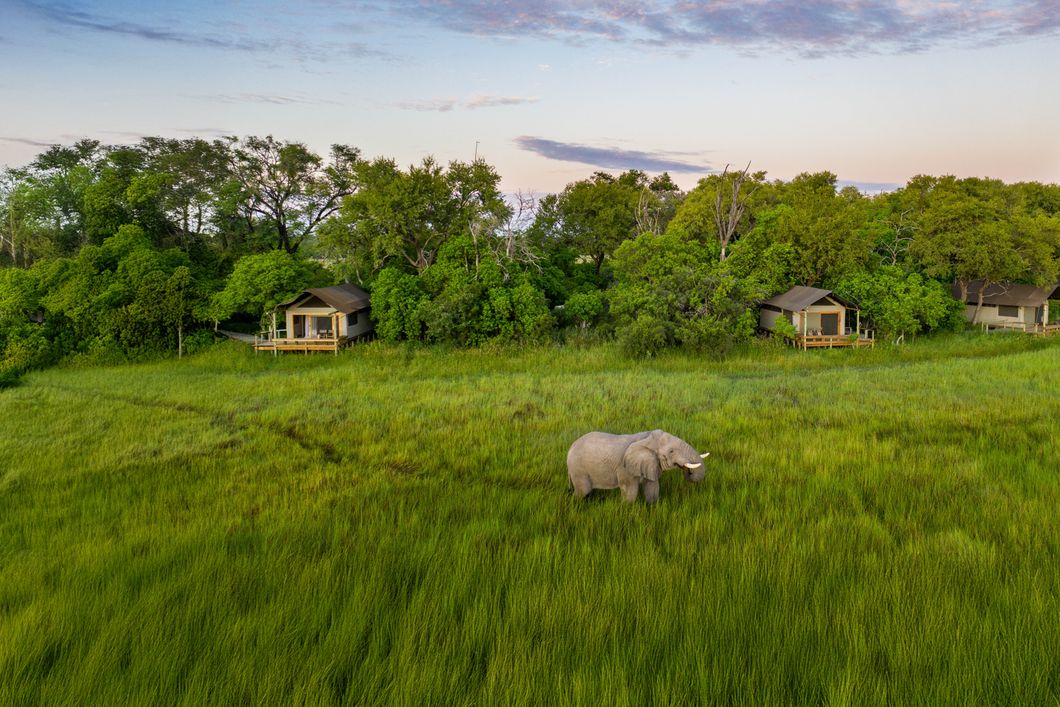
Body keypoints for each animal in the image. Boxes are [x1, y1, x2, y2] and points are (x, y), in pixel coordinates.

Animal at [567, 429, 710, 504]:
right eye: (671, 451)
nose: (688, 471)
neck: (647, 437)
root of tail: (570, 447)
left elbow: (652, 487)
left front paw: (652, 507)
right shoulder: (624, 468)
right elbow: (631, 491)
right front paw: (627, 510)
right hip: (578, 468)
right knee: (583, 490)